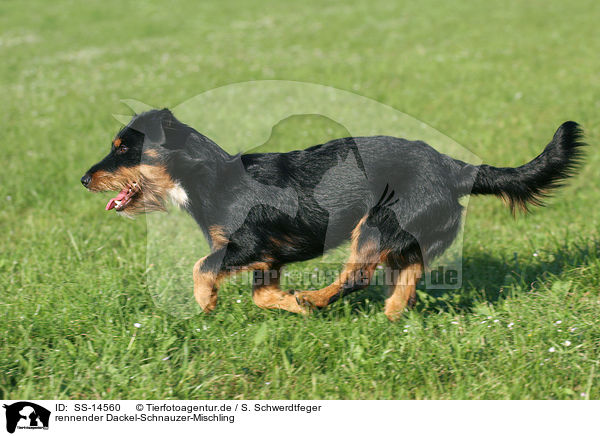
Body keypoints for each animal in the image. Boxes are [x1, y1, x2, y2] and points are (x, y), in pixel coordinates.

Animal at [82, 109, 584, 320]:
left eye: (123, 149)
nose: (84, 179)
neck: (208, 176)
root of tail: (454, 167)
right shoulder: (267, 258)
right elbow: (263, 296)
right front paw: (287, 306)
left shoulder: (248, 244)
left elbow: (201, 267)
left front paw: (206, 302)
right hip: (404, 234)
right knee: (406, 278)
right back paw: (388, 315)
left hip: (376, 224)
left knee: (358, 276)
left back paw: (317, 298)